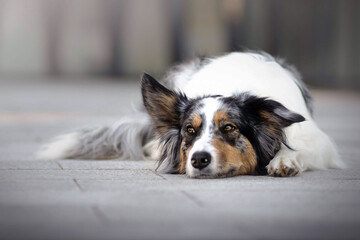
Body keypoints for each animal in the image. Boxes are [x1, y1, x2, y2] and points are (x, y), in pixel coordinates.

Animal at [35, 51, 344, 178]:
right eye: (189, 131)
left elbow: (299, 149)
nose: (198, 159)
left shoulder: (319, 141)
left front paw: (284, 160)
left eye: (230, 128)